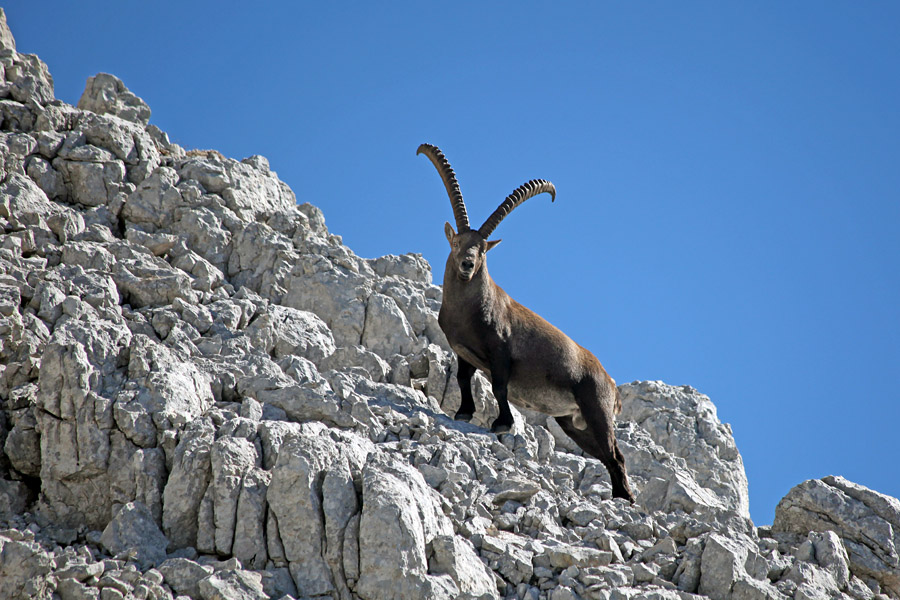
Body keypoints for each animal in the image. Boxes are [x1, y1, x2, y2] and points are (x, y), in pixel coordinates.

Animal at [418, 143, 634, 502]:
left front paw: (502, 423)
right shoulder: (463, 351)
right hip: (573, 423)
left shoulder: (501, 351)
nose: (467, 265)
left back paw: (626, 499)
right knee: (607, 456)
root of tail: (612, 384)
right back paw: (619, 496)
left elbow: (499, 386)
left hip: (597, 410)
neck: (470, 310)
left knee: (616, 455)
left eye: (483, 250)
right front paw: (464, 412)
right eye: (458, 242)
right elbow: (463, 379)